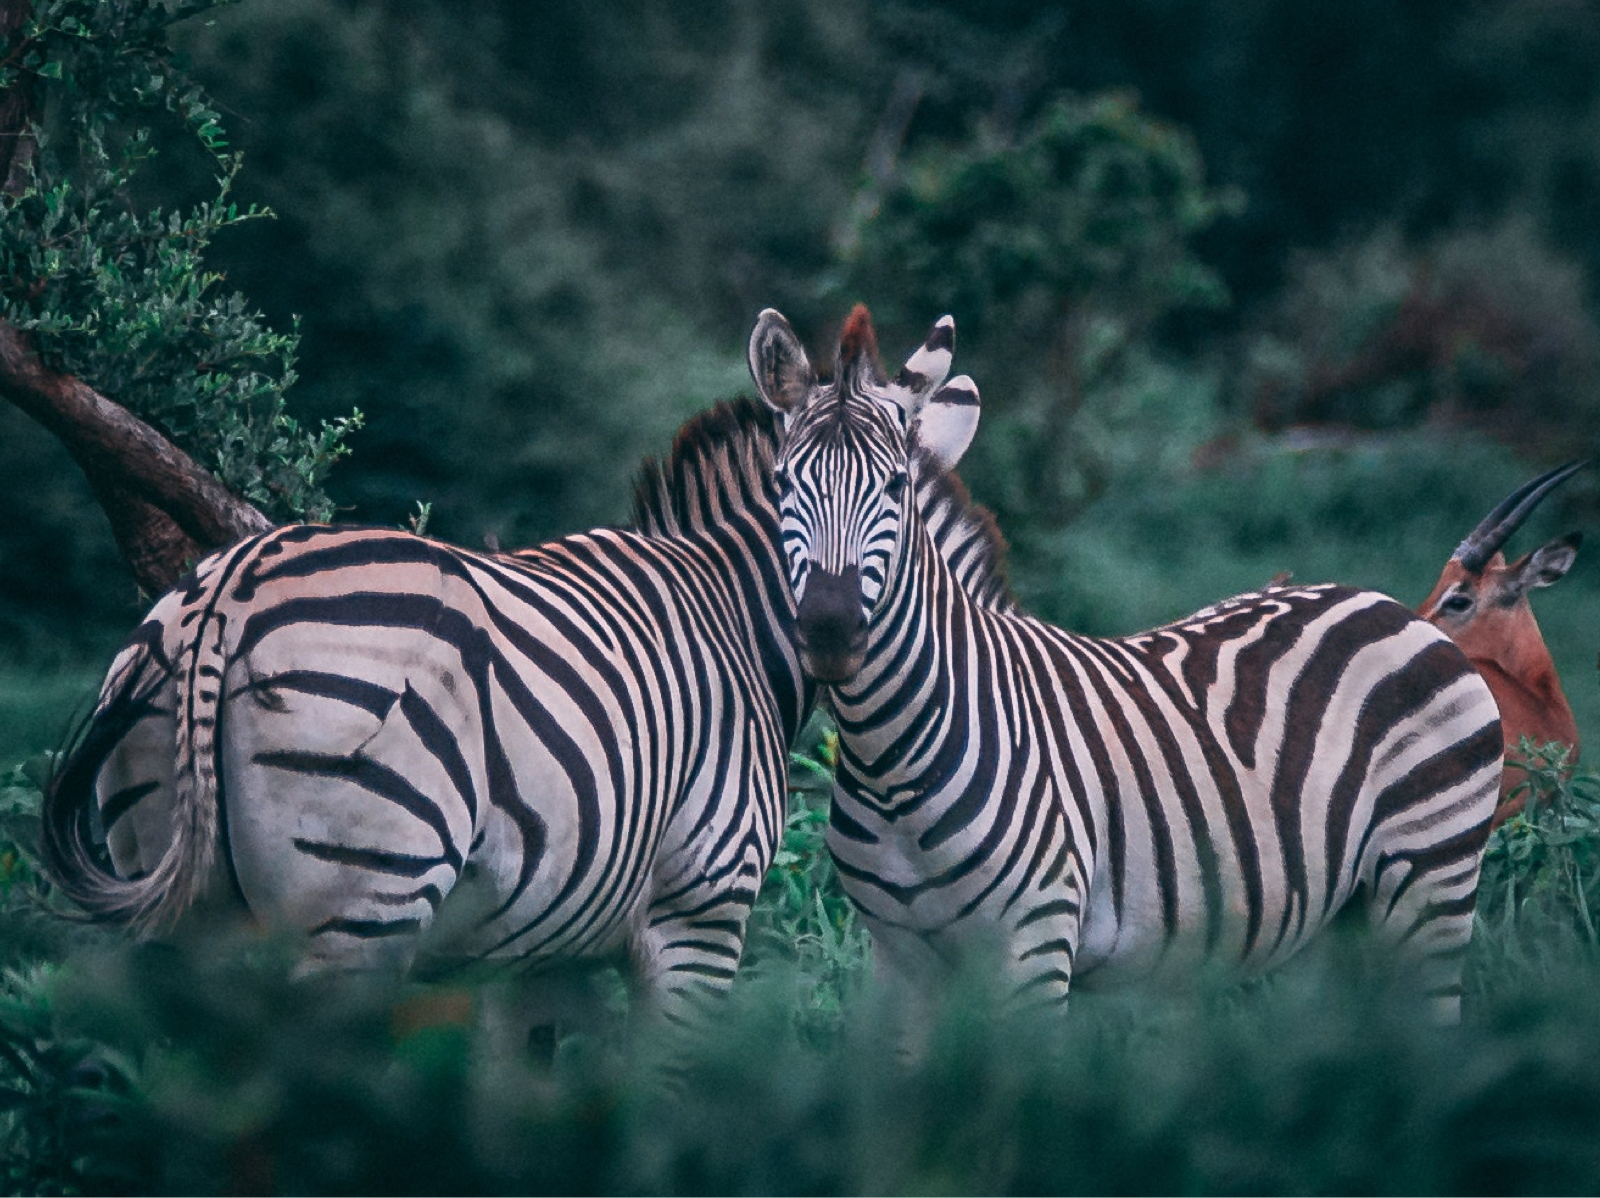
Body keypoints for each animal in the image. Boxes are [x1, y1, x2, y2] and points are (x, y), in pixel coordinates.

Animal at [742, 303, 1504, 1023]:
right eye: (781, 484)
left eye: (896, 487)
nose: (830, 631)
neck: (893, 764)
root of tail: (1390, 606)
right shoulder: (899, 960)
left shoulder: (1036, 944)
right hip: (1334, 922)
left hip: (1431, 881)